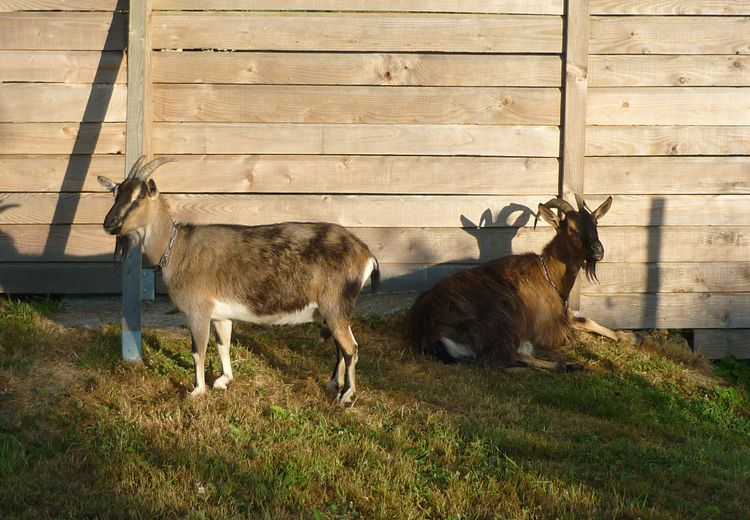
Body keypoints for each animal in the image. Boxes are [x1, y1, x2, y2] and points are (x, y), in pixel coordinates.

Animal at [98, 156, 382, 404]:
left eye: (139, 197)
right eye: (116, 193)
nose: (109, 223)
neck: (178, 249)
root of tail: (366, 253)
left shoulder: (197, 311)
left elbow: (198, 351)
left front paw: (197, 391)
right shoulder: (220, 314)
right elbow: (223, 344)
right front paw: (224, 380)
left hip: (334, 305)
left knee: (351, 347)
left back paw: (347, 395)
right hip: (335, 311)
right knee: (341, 347)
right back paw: (334, 384)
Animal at [408, 194, 636, 370]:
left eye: (595, 222)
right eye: (571, 228)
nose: (598, 250)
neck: (548, 275)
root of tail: (427, 331)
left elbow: (585, 320)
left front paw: (629, 337)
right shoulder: (547, 327)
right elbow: (573, 328)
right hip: (499, 319)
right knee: (498, 357)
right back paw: (570, 365)